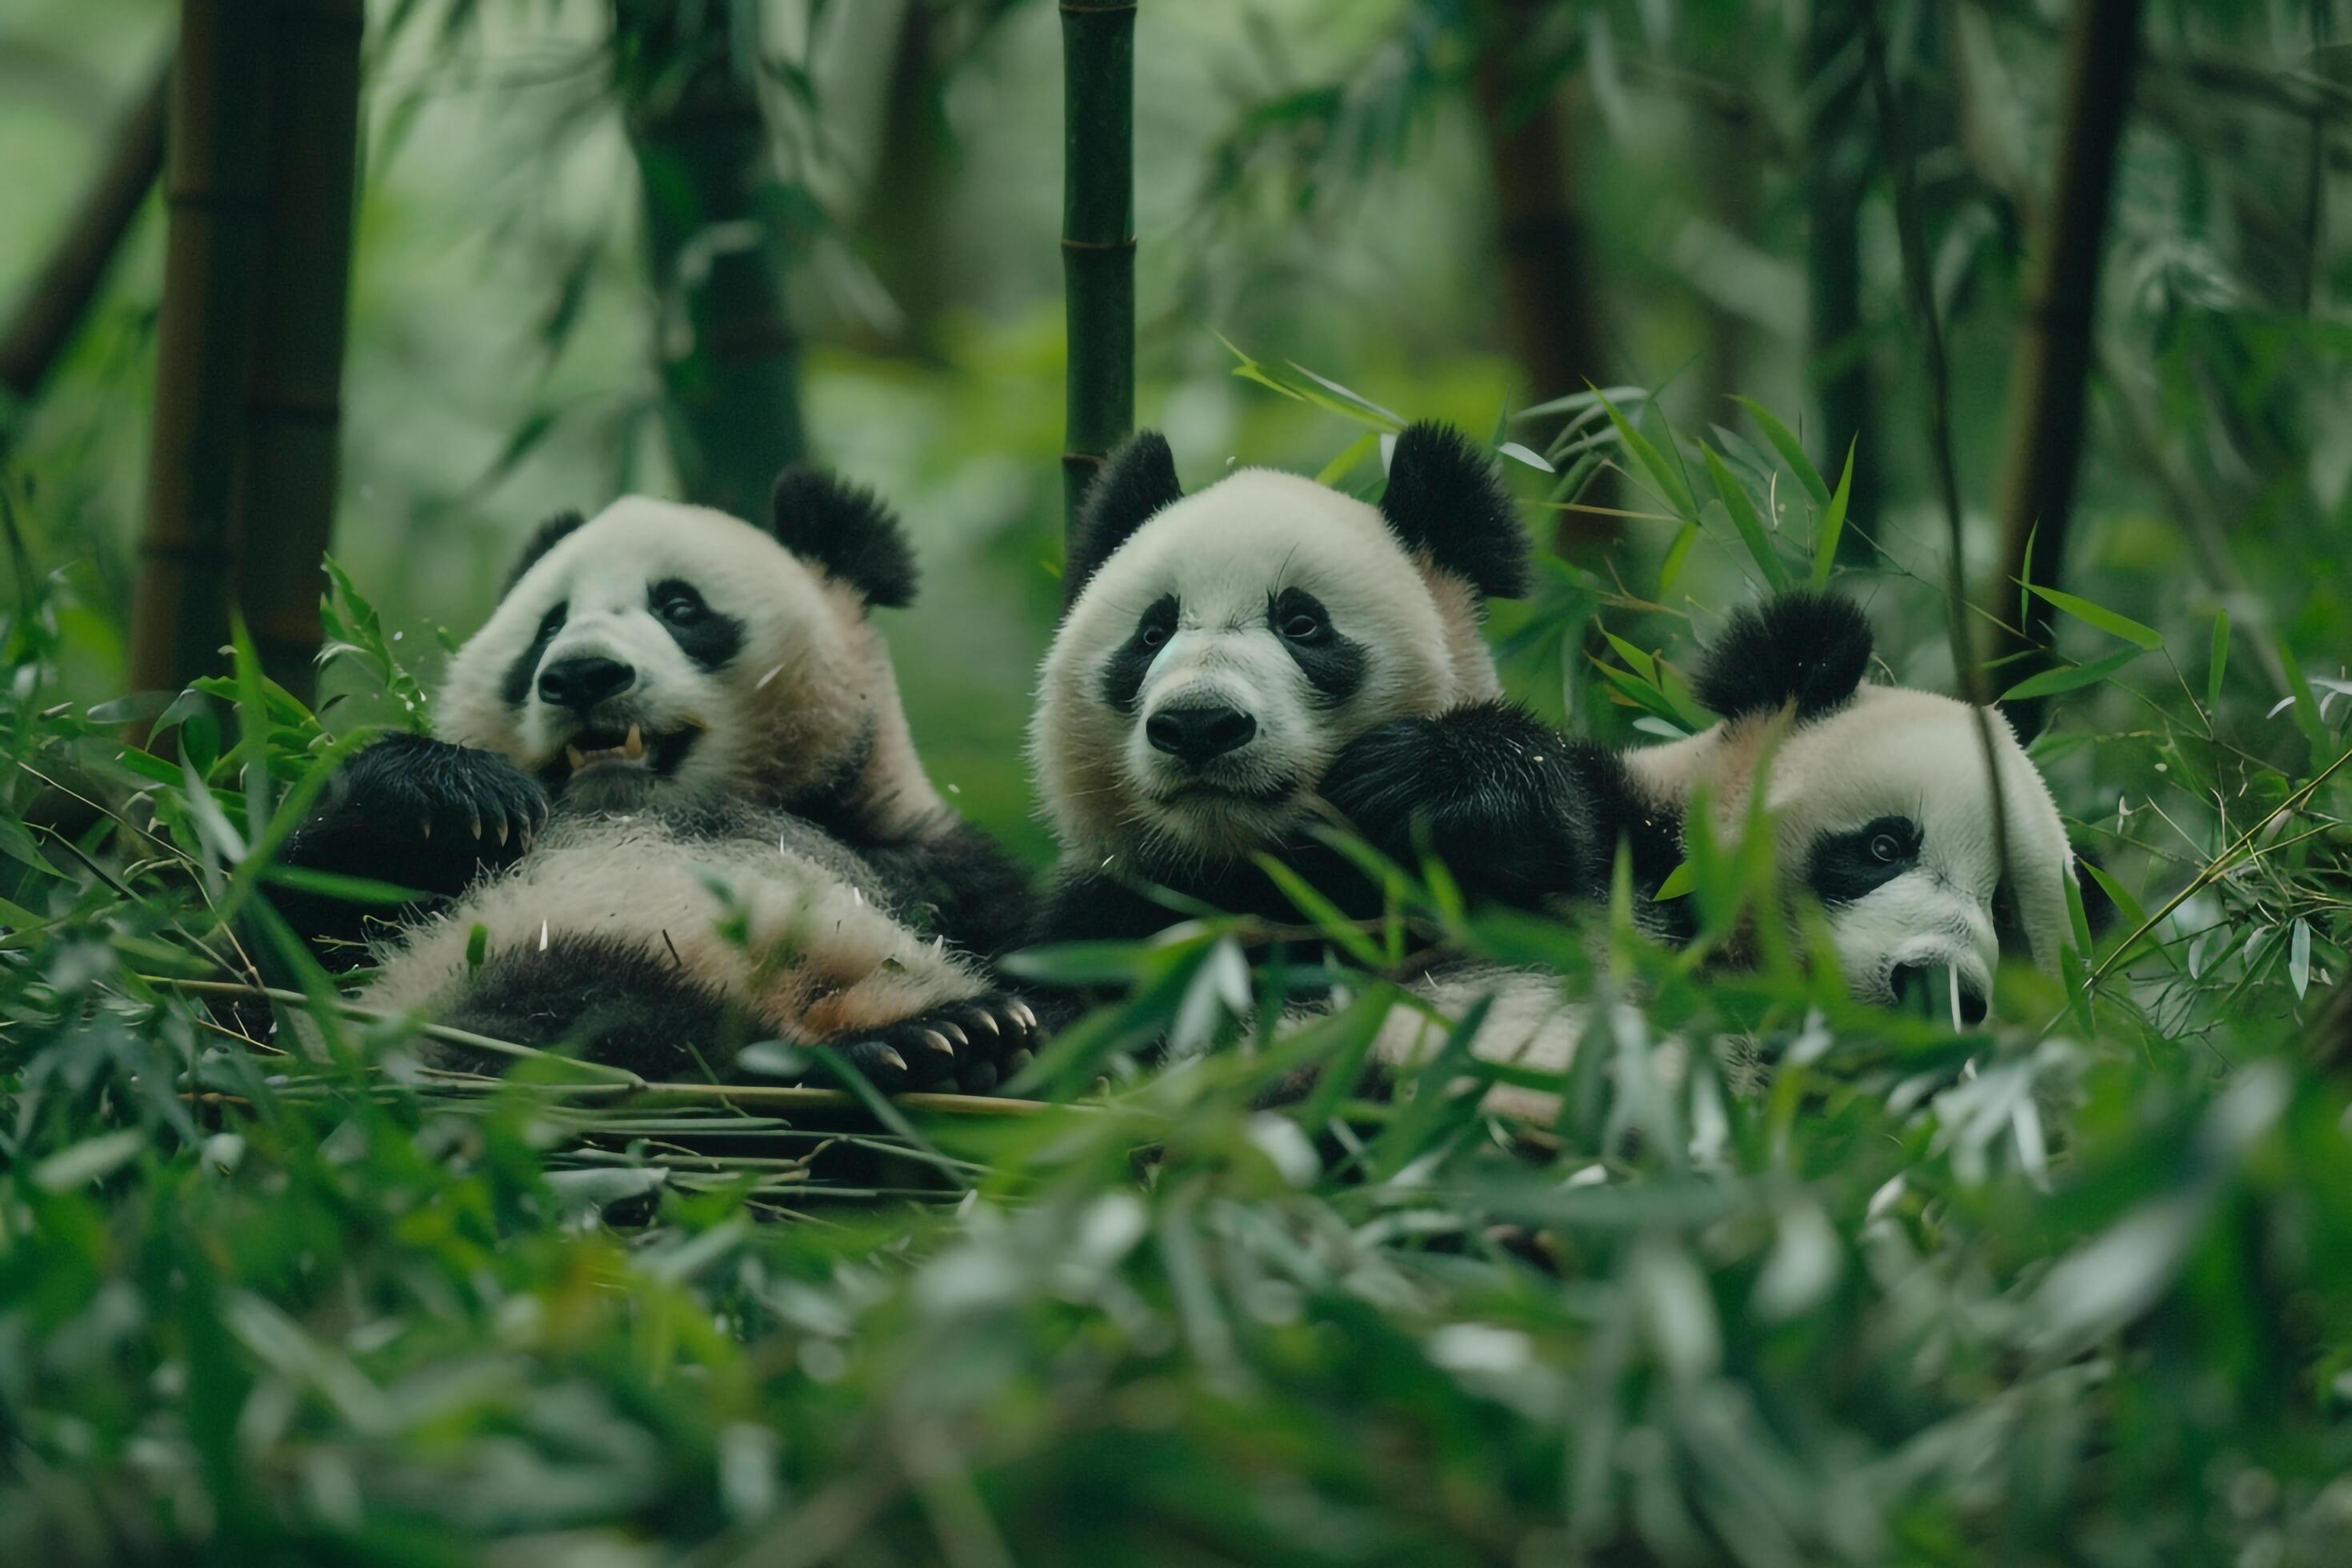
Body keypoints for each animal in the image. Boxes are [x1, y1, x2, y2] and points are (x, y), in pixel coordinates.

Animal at [279, 472, 1034, 1100]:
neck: (643, 808)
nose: (582, 674)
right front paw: (459, 794)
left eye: (679, 606)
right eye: (548, 625)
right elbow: (297, 925)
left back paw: (955, 1041)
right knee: (590, 1030)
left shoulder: (935, 876)